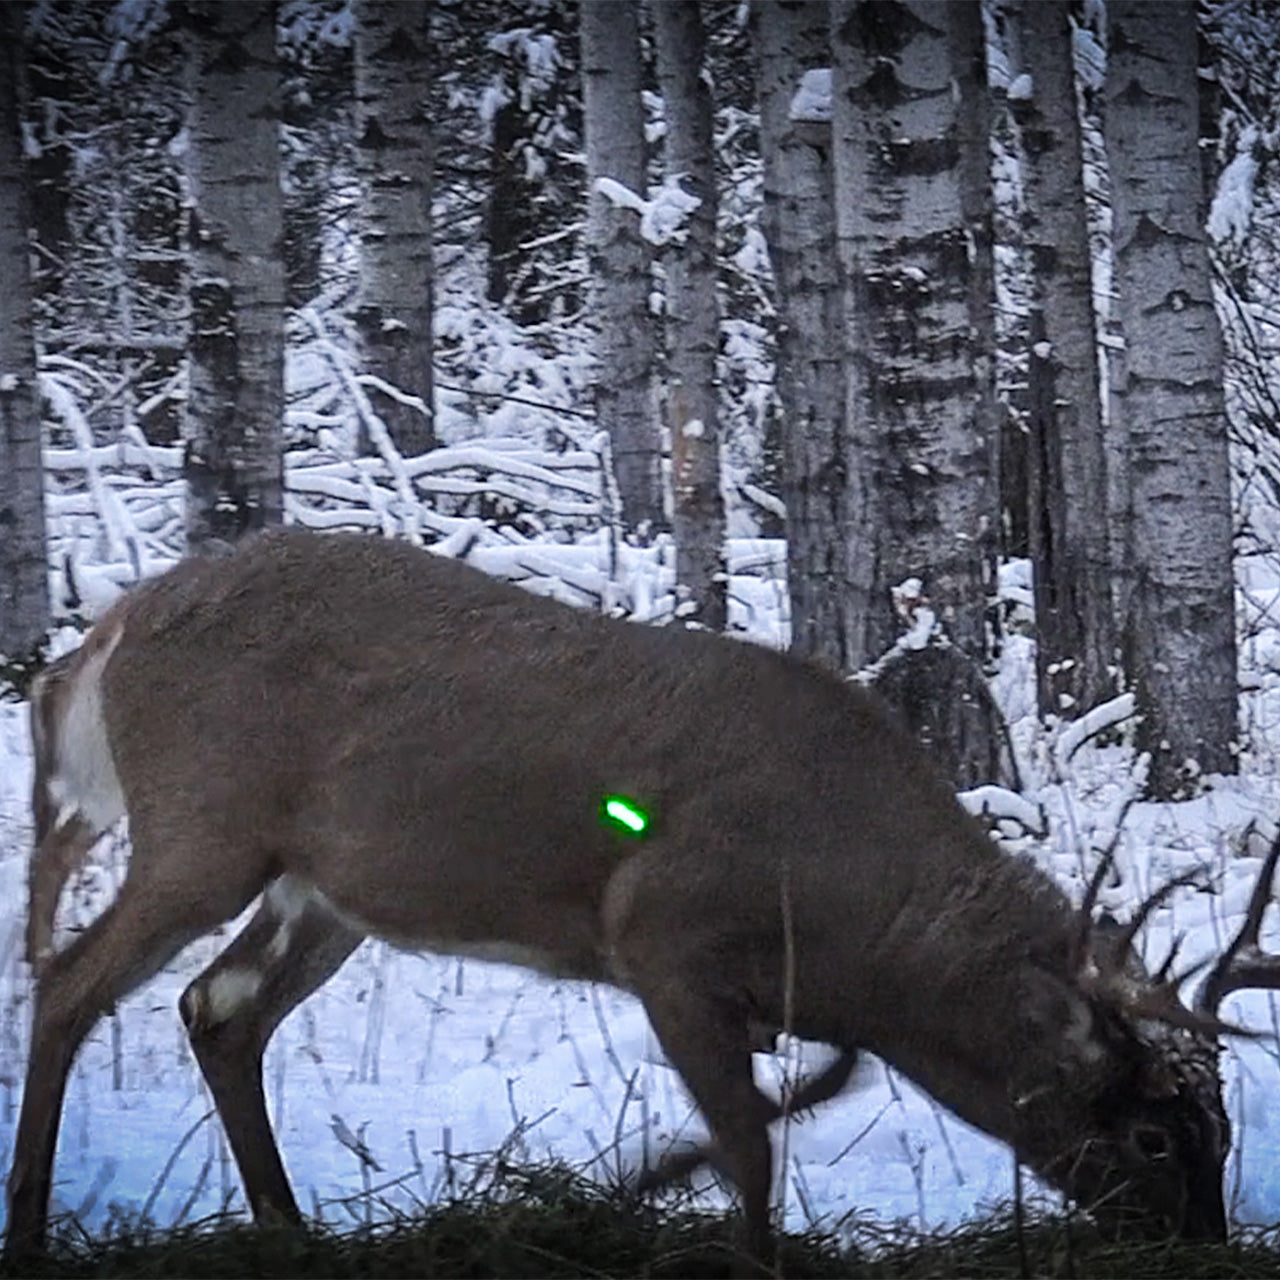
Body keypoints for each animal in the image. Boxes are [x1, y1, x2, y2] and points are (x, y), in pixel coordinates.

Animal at [8, 525, 1280, 1268]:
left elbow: (807, 1089)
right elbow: (754, 1144)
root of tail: (108, 632)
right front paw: (734, 1242)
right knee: (70, 979)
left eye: (1220, 1128)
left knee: (218, 1009)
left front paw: (639, 1181)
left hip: (325, 890)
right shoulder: (660, 936)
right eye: (1155, 1132)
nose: (1201, 1246)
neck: (851, 923)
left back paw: (285, 1226)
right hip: (205, 825)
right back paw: (30, 1224)